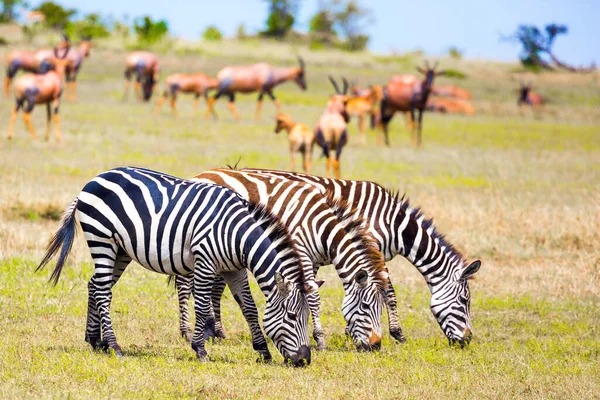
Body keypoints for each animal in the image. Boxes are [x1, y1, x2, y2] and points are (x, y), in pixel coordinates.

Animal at [36, 166, 314, 366]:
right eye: (292, 316)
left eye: (307, 317)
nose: (304, 360)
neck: (237, 235)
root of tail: (94, 180)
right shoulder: (205, 261)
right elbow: (201, 307)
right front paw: (200, 349)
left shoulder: (234, 269)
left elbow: (249, 309)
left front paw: (262, 351)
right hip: (101, 239)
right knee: (103, 292)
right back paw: (114, 346)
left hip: (120, 250)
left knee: (94, 285)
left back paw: (95, 340)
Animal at [180, 168, 390, 350]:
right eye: (366, 306)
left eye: (381, 308)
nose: (376, 346)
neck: (318, 226)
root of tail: (200, 175)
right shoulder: (300, 252)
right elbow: (313, 297)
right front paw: (320, 341)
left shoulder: (310, 260)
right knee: (185, 285)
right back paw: (188, 333)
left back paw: (214, 332)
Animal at [241, 167, 480, 346]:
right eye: (465, 300)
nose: (467, 340)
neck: (393, 223)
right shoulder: (372, 251)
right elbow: (389, 293)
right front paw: (396, 333)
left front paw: (352, 330)